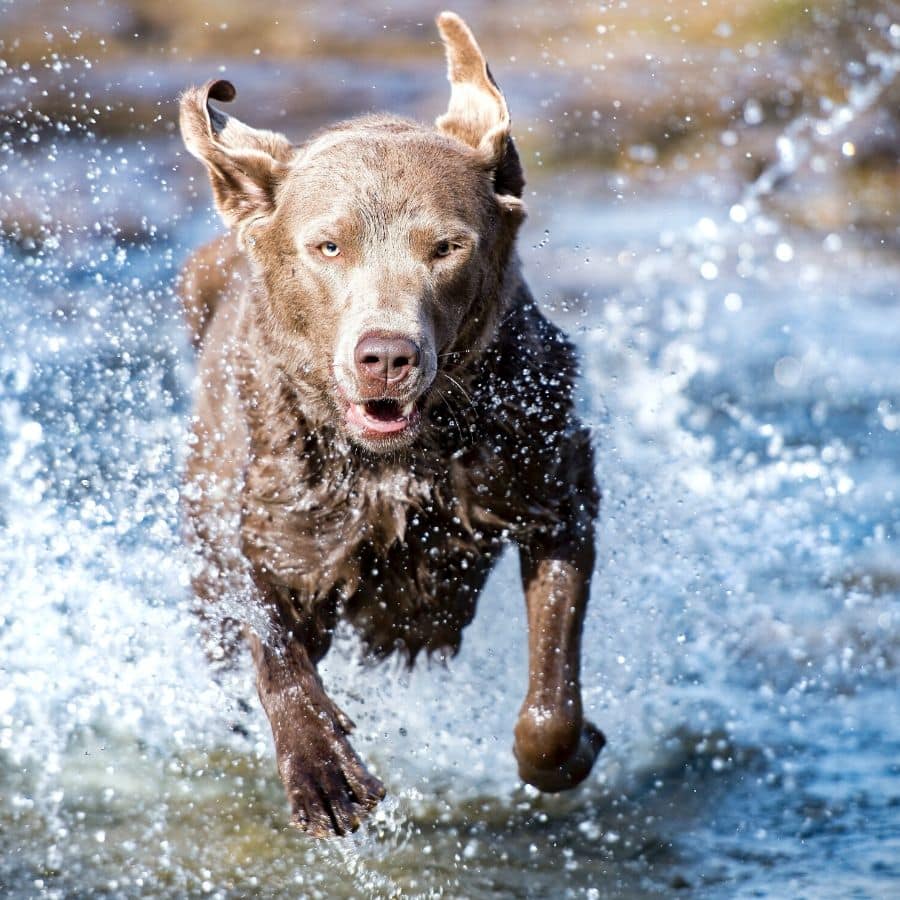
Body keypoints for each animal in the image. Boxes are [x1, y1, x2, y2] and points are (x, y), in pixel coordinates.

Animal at [178, 10, 600, 836]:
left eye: (447, 246)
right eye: (328, 246)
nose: (386, 356)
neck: (398, 463)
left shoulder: (553, 487)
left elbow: (551, 700)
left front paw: (571, 750)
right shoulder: (272, 517)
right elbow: (272, 640)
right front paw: (323, 773)